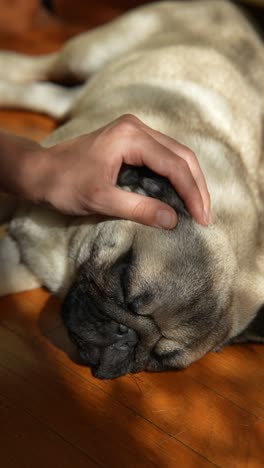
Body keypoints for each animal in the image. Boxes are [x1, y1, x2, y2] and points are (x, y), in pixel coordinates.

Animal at [0, 0, 264, 378]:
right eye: (125, 283)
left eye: (159, 362)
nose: (126, 336)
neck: (75, 240)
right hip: (87, 53)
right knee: (41, 66)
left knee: (55, 96)